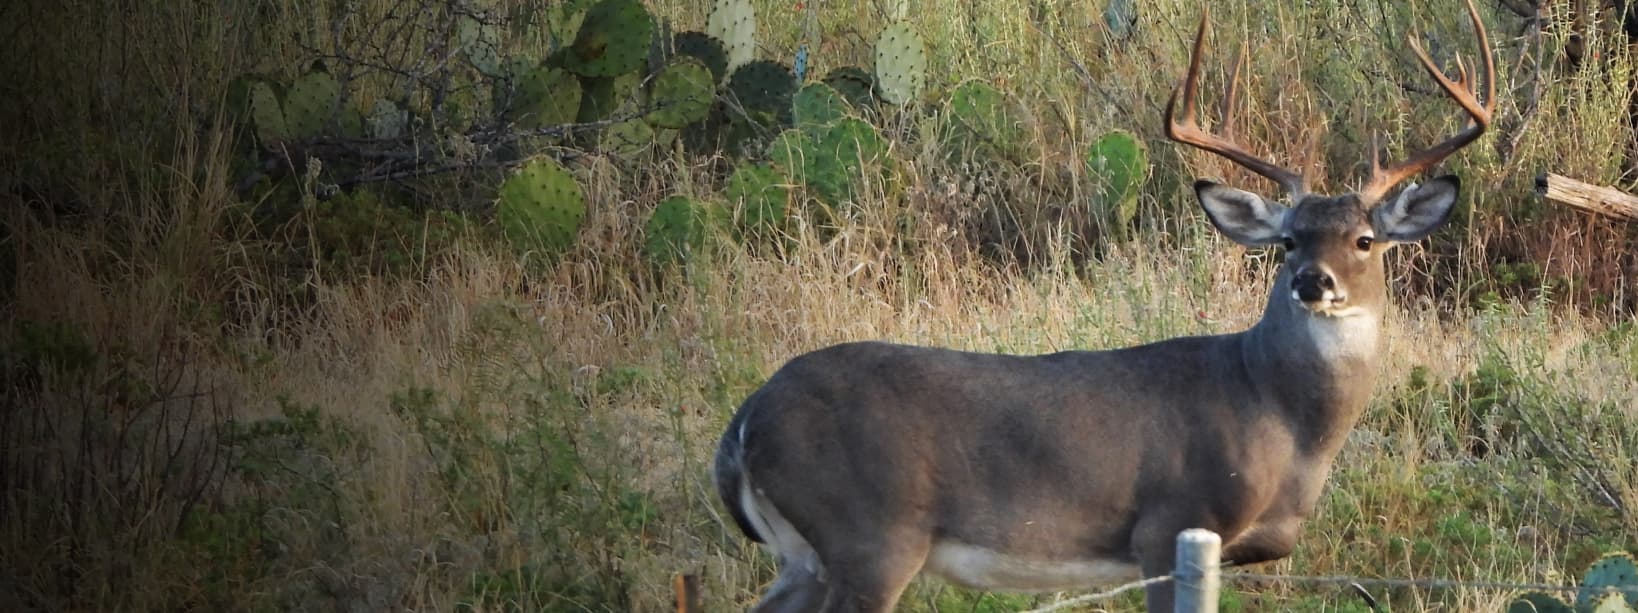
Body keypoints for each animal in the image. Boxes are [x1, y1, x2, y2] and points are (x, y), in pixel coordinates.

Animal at [713, 1, 1493, 610]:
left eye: (1364, 239)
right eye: (1289, 239)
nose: (1313, 282)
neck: (1278, 415)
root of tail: (747, 420)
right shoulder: (1170, 525)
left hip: (810, 555)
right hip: (869, 534)